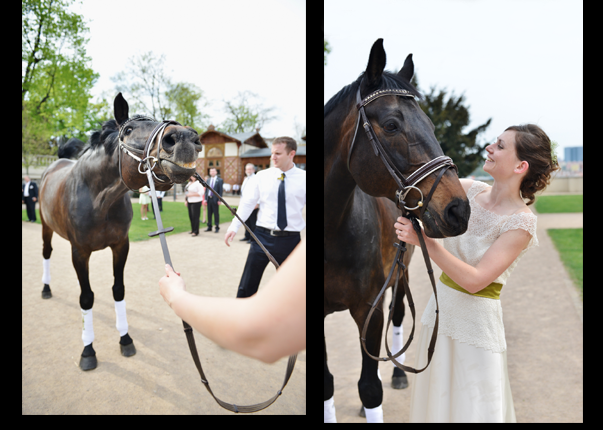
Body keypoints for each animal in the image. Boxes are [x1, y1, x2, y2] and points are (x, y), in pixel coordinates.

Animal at [39, 92, 203, 372]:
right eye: (127, 130)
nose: (184, 139)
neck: (98, 200)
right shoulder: (79, 252)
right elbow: (86, 298)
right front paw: (88, 350)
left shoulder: (120, 246)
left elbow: (118, 290)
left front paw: (125, 338)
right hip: (45, 226)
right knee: (47, 253)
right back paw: (46, 288)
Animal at [326, 40, 472, 424]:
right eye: (392, 125)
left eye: (432, 124)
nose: (459, 209)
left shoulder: (369, 307)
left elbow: (369, 387)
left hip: (401, 274)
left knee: (399, 316)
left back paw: (396, 373)